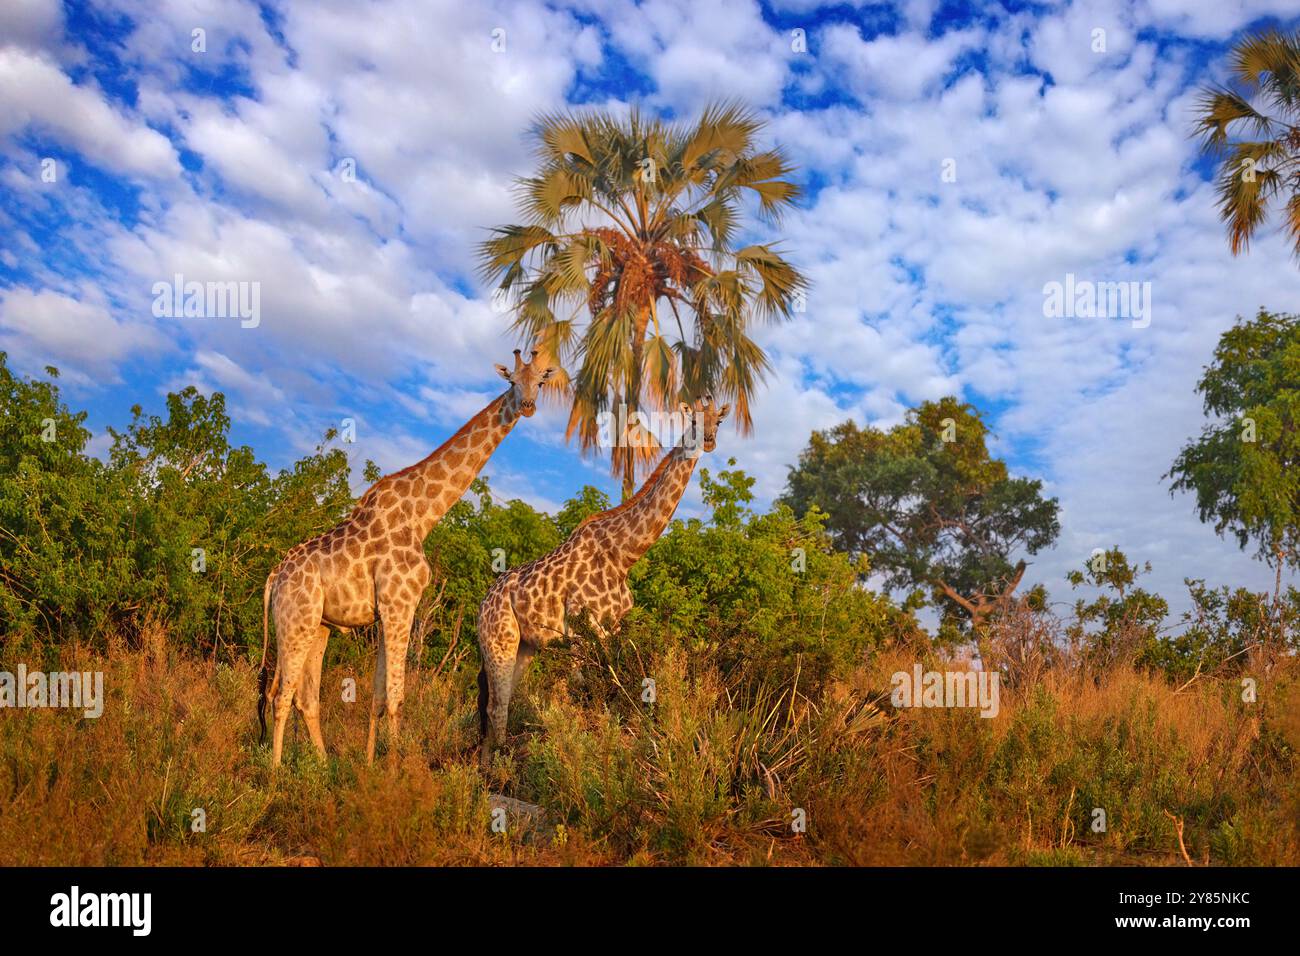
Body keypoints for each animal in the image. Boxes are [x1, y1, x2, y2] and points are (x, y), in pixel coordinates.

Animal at [257, 350, 556, 766]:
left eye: (540, 382)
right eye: (512, 381)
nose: (527, 406)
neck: (423, 515)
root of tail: (274, 577)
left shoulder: (388, 610)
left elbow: (379, 697)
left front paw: (370, 764)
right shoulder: (401, 603)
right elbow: (397, 697)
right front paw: (395, 770)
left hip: (318, 626)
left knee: (304, 697)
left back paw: (324, 767)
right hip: (294, 621)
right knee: (280, 695)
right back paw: (274, 773)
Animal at [475, 395, 729, 766]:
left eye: (718, 422)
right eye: (693, 421)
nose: (708, 441)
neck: (624, 555)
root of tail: (482, 605)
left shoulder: (613, 626)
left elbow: (614, 684)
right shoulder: (582, 628)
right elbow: (583, 689)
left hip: (524, 646)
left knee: (499, 701)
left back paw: (492, 760)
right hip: (498, 640)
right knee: (495, 703)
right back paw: (495, 766)